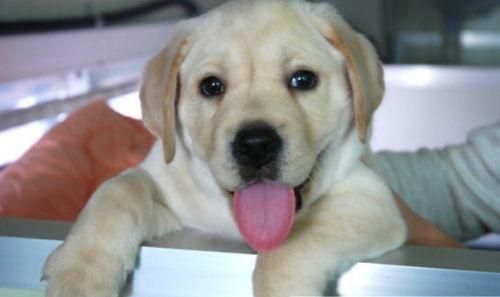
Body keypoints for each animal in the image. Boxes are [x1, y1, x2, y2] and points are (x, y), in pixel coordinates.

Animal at [43, 1, 406, 294]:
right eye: (211, 86)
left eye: (303, 79)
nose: (256, 145)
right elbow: (118, 188)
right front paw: (80, 274)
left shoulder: (369, 199)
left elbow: (294, 243)